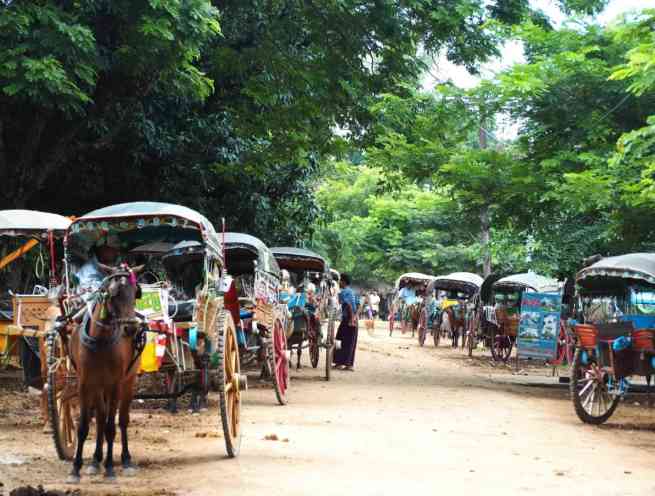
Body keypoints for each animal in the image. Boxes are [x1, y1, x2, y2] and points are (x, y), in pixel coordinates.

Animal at [66, 266, 144, 482]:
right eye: (114, 293)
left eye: (136, 293)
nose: (131, 328)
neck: (100, 340)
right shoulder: (85, 384)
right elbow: (84, 426)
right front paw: (76, 468)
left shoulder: (115, 384)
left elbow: (111, 427)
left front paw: (109, 468)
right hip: (98, 386)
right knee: (100, 418)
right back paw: (95, 460)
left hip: (128, 381)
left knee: (122, 420)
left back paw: (125, 460)